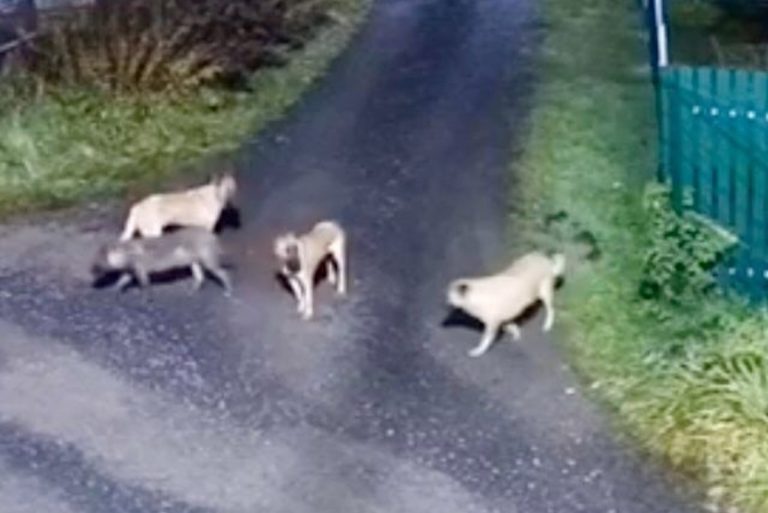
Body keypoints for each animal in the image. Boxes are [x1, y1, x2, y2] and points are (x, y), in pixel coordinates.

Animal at [91, 227, 232, 294]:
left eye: (99, 261)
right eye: (96, 258)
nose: (90, 269)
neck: (125, 252)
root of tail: (213, 237)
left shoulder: (139, 267)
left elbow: (144, 283)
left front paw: (146, 296)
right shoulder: (131, 269)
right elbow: (123, 280)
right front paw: (114, 289)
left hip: (207, 258)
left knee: (222, 273)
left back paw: (228, 289)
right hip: (195, 260)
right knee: (200, 277)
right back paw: (194, 289)